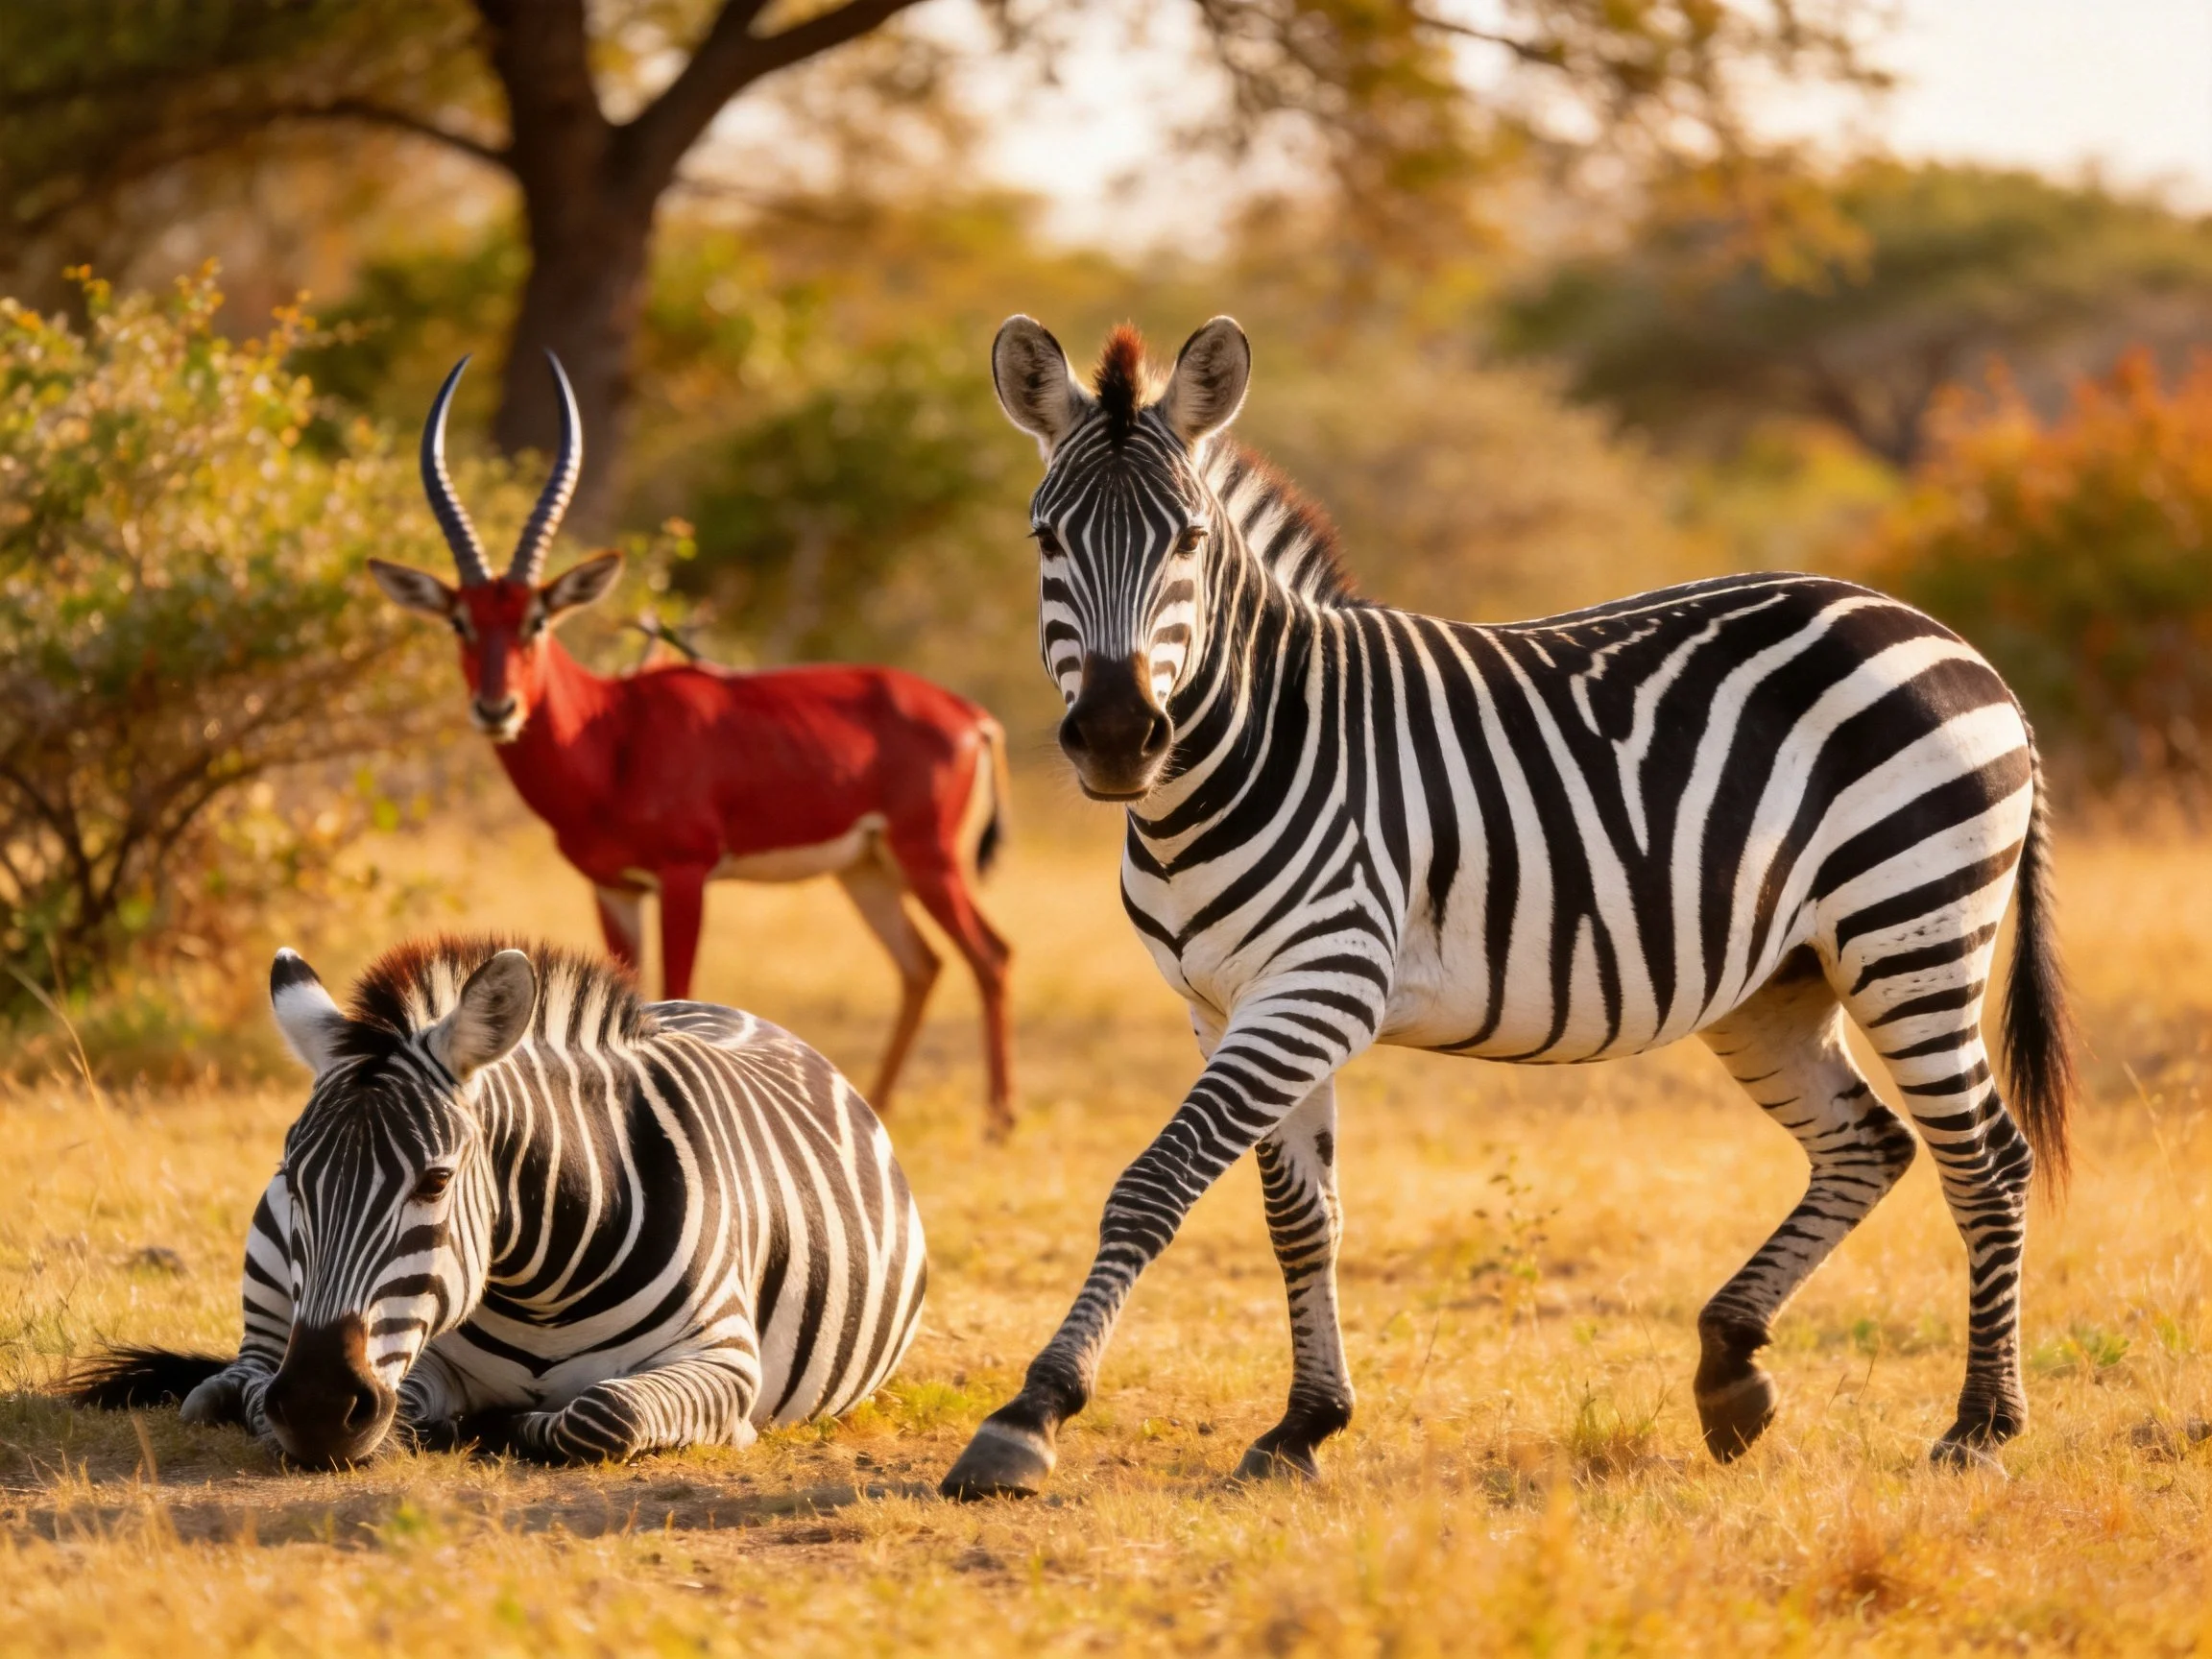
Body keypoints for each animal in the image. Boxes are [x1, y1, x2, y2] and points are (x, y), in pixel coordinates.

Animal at [72, 936, 927, 1466]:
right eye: (294, 1177)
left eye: (436, 1181)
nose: (315, 1407)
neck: (543, 1285)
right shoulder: (415, 1355)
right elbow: (406, 1405)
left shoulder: (723, 1360)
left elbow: (604, 1414)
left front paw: (523, 1425)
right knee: (246, 1368)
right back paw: (227, 1391)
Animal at [369, 356, 1014, 1134]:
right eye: (460, 621)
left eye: (537, 620)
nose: (497, 708)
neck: (609, 735)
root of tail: (970, 714)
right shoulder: (612, 887)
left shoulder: (686, 874)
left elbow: (677, 989)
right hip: (868, 871)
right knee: (922, 966)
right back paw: (882, 1105)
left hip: (929, 858)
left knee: (991, 956)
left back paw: (998, 1122)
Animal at [940, 316, 2076, 1499]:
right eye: (1046, 540)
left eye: (1190, 543)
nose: (1120, 737)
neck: (1246, 747)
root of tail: (1952, 642)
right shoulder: (1225, 1002)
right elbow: (1301, 1217)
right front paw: (1304, 1424)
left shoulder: (1321, 983)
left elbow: (1155, 1184)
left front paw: (1032, 1411)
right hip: (1777, 985)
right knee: (1871, 1145)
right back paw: (1731, 1370)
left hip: (1912, 935)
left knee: (1986, 1161)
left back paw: (1979, 1427)